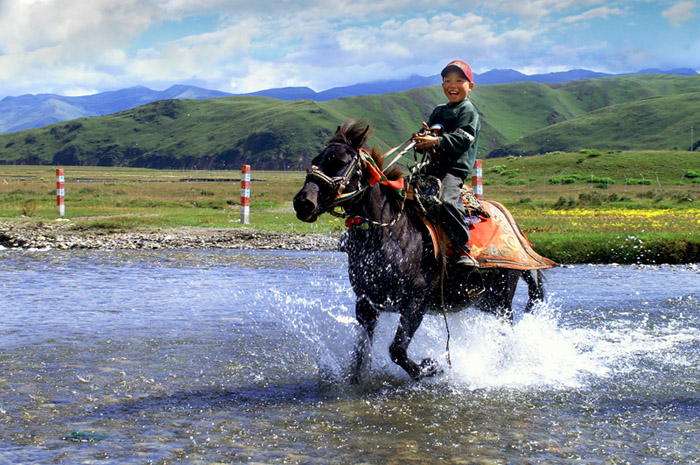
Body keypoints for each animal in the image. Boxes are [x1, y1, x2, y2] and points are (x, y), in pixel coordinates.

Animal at [292, 119, 548, 380]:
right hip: (484, 302)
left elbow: (396, 350)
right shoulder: (366, 304)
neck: (390, 235)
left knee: (507, 333)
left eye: (340, 162)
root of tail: (513, 225)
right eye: (317, 159)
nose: (303, 203)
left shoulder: (415, 303)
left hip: (501, 300)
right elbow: (361, 355)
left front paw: (431, 366)